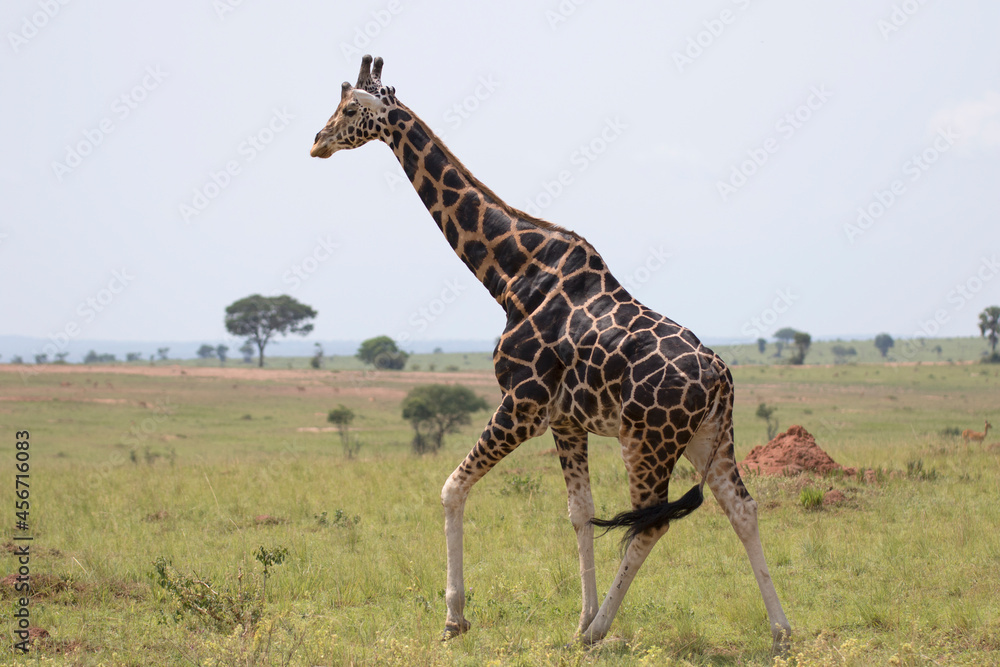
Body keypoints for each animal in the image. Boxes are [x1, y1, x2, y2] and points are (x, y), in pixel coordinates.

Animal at [310, 55, 791, 653]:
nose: (317, 142)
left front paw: (456, 619)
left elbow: (451, 488)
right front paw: (578, 616)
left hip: (647, 441)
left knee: (650, 523)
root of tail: (721, 376)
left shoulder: (523, 403)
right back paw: (780, 632)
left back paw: (601, 633)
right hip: (710, 436)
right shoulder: (566, 420)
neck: (510, 274)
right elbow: (580, 514)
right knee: (741, 508)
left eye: (349, 108)